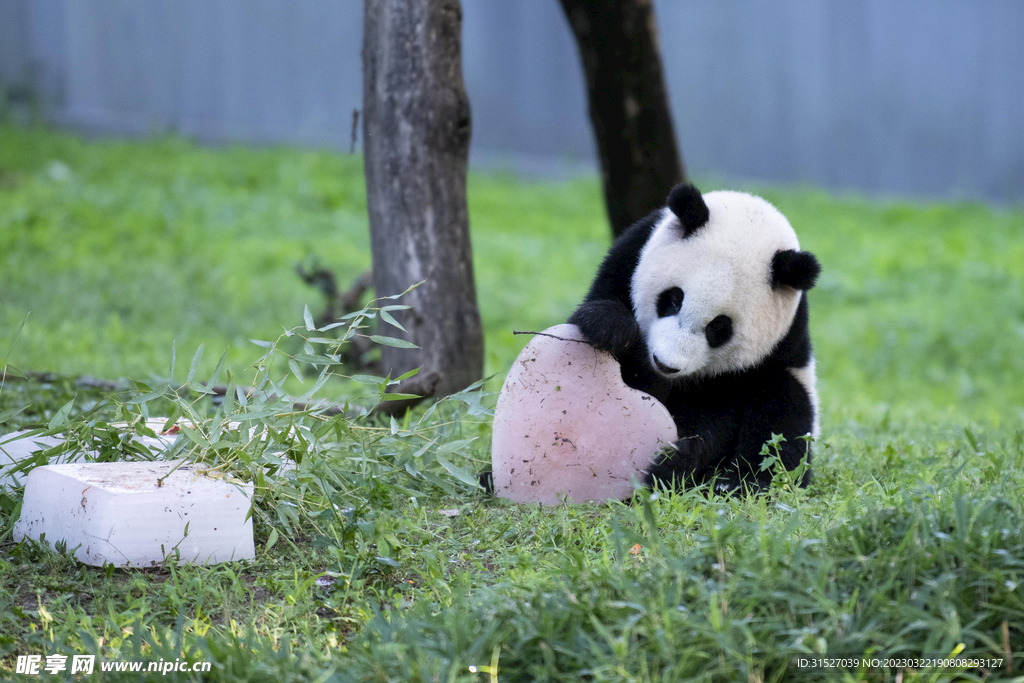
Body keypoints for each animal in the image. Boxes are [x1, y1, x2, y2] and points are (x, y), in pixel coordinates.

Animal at [569, 183, 823, 491]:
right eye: (674, 299)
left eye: (719, 328)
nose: (665, 364)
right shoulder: (626, 261)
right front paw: (610, 327)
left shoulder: (763, 357)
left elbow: (715, 418)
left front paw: (673, 462)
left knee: (782, 411)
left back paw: (740, 483)